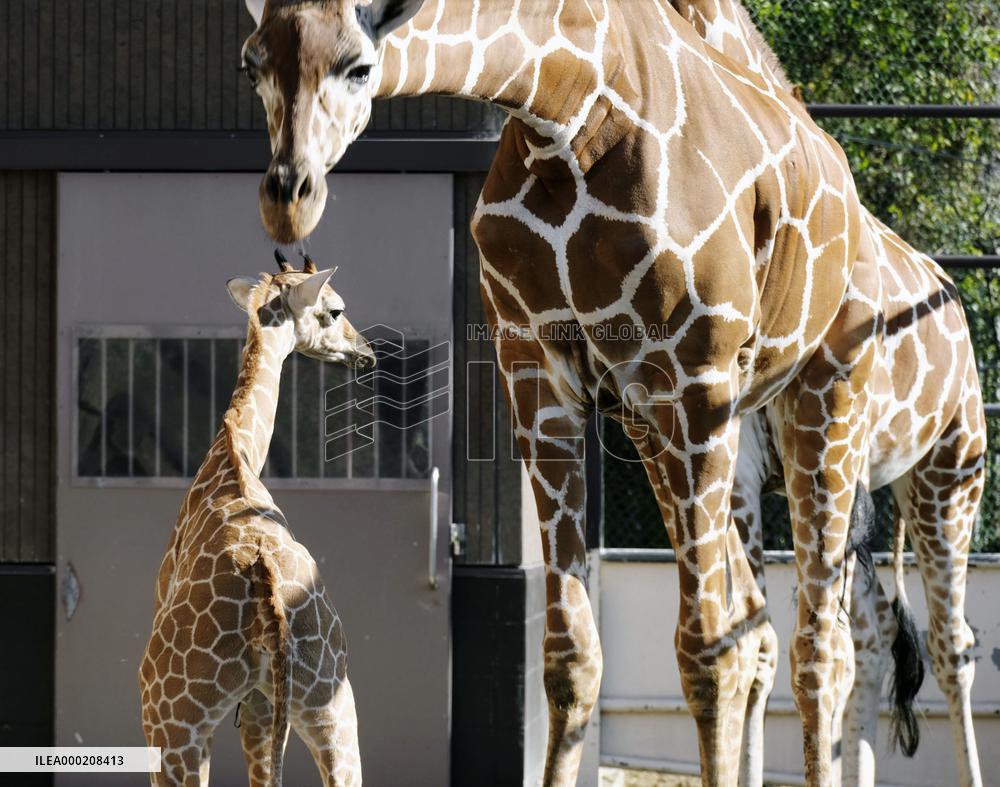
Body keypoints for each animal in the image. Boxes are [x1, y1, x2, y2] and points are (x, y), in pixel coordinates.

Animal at [138, 252, 374, 787]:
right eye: (335, 310)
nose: (365, 352)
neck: (236, 455)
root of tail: (267, 590)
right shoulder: (261, 703)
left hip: (170, 720)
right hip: (331, 706)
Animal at [241, 1, 880, 783]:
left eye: (359, 65)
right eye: (251, 62)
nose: (288, 199)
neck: (566, 113)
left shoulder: (697, 375)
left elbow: (705, 655)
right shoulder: (537, 370)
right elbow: (571, 656)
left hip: (823, 394)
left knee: (820, 649)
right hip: (666, 425)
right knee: (754, 625)